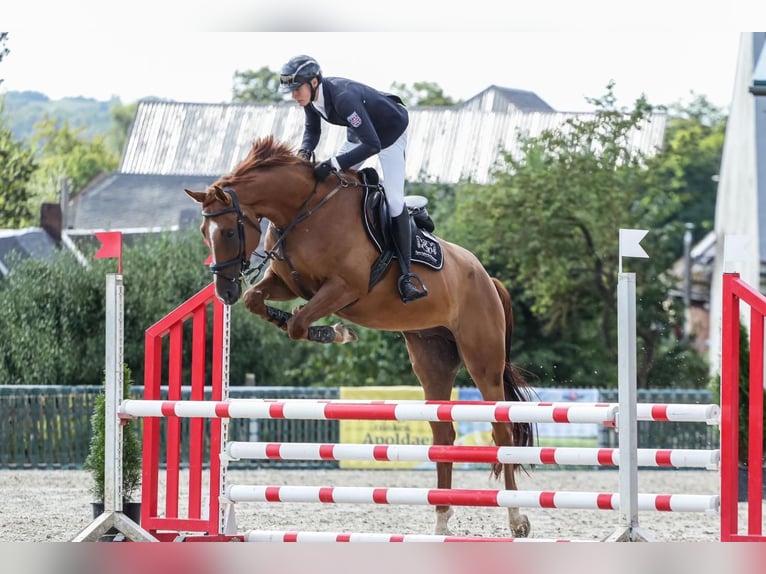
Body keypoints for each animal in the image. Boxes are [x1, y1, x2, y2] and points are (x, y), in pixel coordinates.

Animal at [185, 135, 536, 540]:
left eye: (228, 232)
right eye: (203, 234)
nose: (223, 291)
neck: (304, 211)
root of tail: (485, 277)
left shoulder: (343, 288)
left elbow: (299, 323)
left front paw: (334, 332)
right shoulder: (288, 283)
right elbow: (257, 300)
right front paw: (301, 323)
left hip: (482, 360)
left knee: (502, 430)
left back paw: (517, 519)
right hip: (431, 358)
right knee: (443, 434)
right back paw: (441, 520)